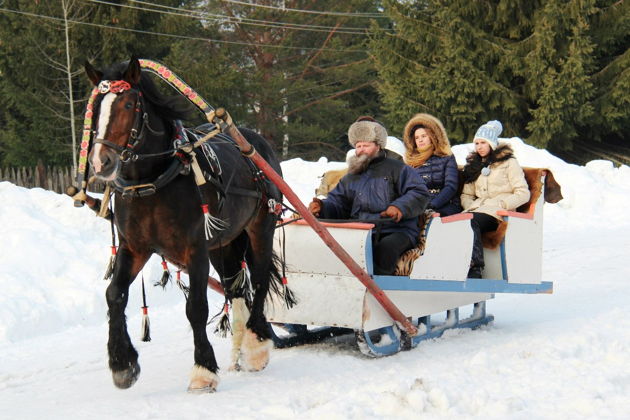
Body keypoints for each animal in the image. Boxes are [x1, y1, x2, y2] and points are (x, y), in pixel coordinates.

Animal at [86, 57, 286, 392]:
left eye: (128, 103)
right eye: (95, 106)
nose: (101, 162)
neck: (154, 181)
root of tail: (255, 141)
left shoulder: (195, 249)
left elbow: (196, 308)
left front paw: (203, 370)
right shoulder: (135, 248)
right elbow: (114, 294)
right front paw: (122, 363)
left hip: (261, 227)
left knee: (258, 279)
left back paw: (256, 345)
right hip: (223, 243)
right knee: (235, 289)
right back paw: (239, 351)